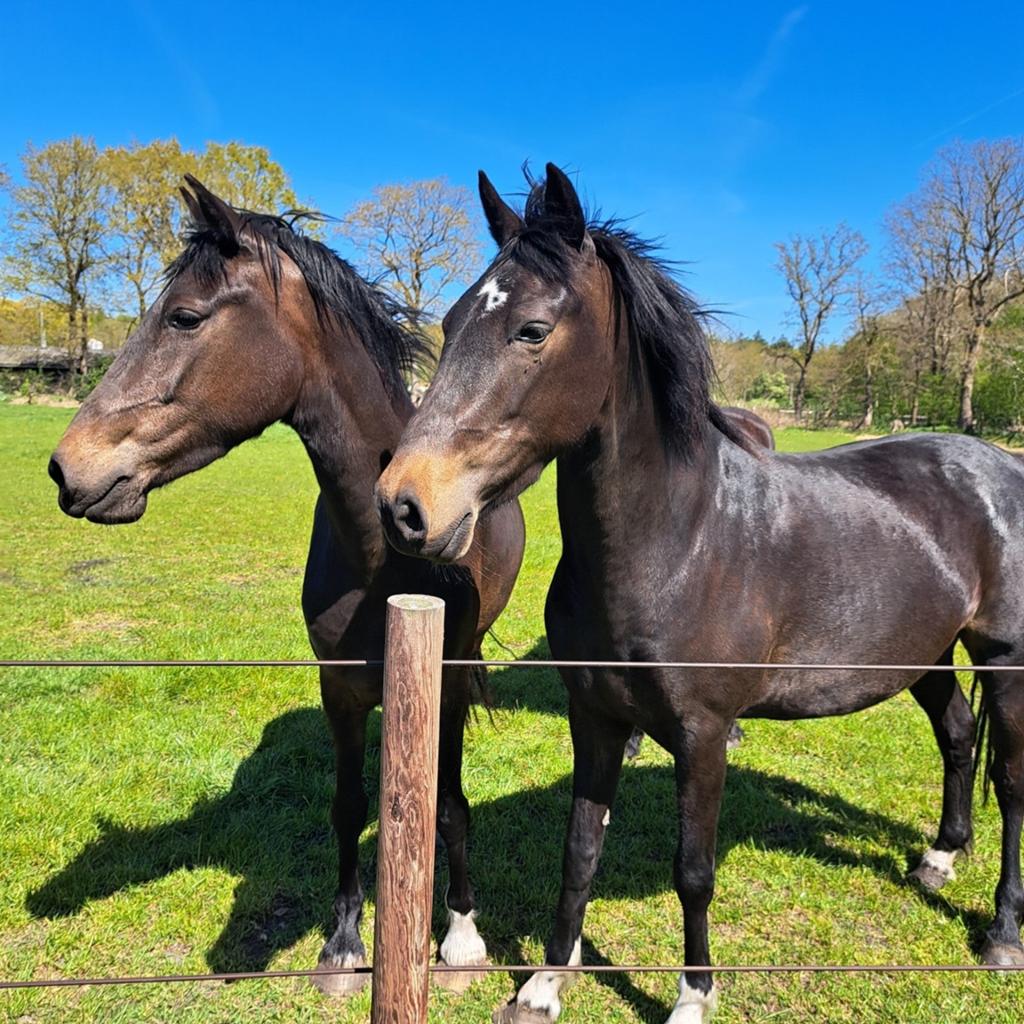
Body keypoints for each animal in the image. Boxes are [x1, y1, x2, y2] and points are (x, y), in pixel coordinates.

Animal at [48, 177, 525, 993]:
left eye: (183, 316)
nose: (63, 467)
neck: (383, 559)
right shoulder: (339, 688)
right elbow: (348, 807)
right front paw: (344, 943)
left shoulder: (449, 681)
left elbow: (451, 806)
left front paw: (462, 937)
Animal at [376, 163, 1024, 1024]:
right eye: (449, 324)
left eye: (532, 331)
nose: (403, 504)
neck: (678, 544)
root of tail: (999, 467)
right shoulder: (596, 719)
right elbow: (579, 850)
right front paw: (543, 985)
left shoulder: (704, 733)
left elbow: (693, 870)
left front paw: (693, 994)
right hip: (925, 654)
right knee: (955, 734)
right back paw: (938, 860)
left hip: (1004, 663)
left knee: (1012, 785)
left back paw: (1002, 933)